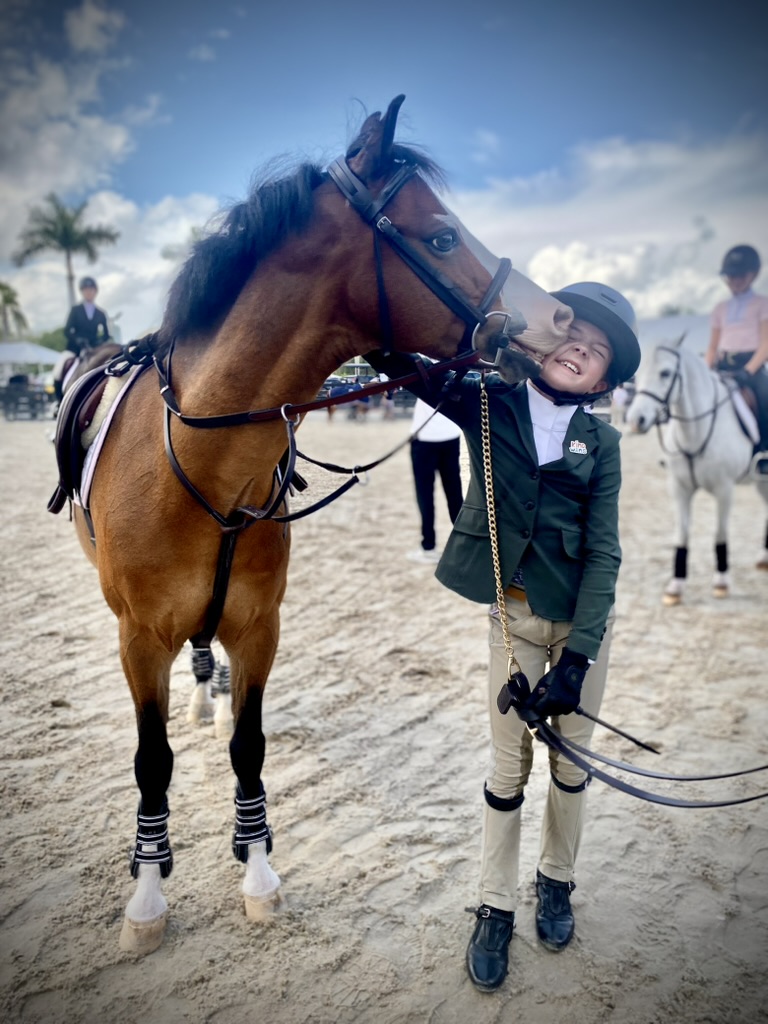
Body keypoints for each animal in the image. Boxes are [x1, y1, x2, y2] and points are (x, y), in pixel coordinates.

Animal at [63, 95, 573, 954]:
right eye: (441, 237)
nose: (560, 316)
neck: (201, 464)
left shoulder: (258, 625)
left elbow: (249, 744)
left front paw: (257, 868)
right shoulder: (137, 639)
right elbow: (151, 760)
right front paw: (148, 892)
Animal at [625, 335, 768, 605]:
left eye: (665, 373)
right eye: (638, 374)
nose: (636, 420)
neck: (696, 431)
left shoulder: (724, 490)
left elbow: (720, 533)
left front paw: (721, 582)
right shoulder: (679, 488)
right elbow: (681, 534)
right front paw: (676, 586)